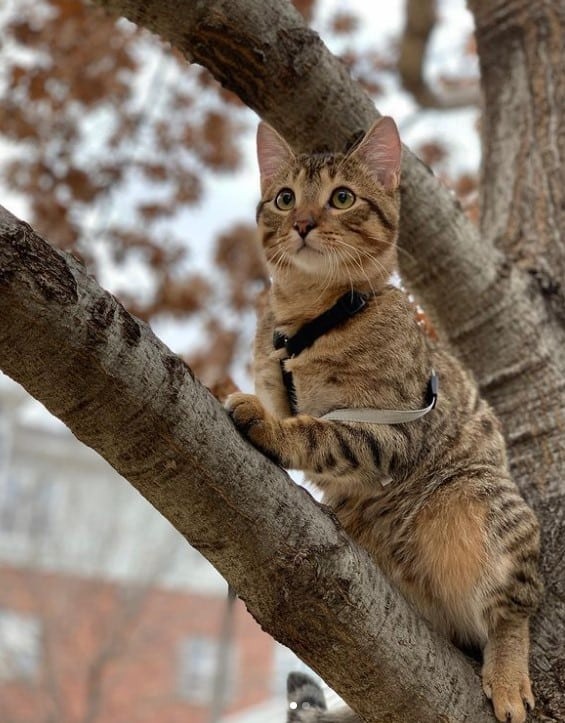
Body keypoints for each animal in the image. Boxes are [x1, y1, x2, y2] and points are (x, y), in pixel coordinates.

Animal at [226, 116, 540, 723]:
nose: (302, 223)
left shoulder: (390, 431)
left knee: (514, 610)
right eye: (285, 198)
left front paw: (270, 428)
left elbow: (321, 431)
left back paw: (509, 674)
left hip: (481, 496)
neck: (307, 320)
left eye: (342, 198)